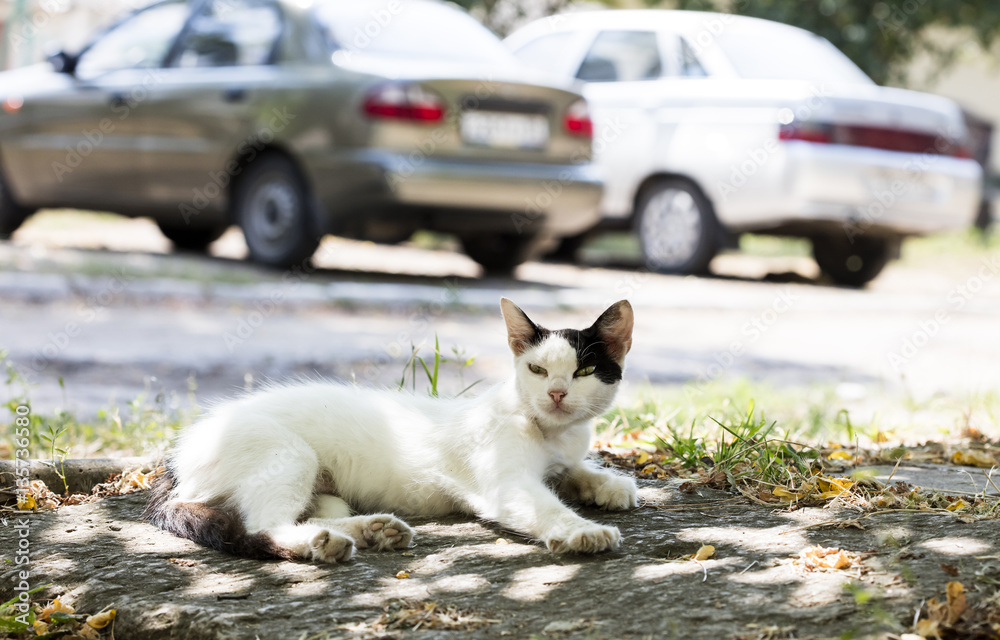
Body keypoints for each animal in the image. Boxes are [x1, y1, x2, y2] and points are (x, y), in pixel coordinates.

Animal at [145, 298, 636, 564]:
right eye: (537, 370)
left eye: (584, 371)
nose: (555, 393)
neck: (549, 430)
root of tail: (176, 457)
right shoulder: (506, 483)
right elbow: (543, 503)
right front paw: (579, 530)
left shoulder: (562, 454)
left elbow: (573, 469)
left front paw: (609, 484)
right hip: (288, 454)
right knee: (263, 525)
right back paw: (321, 543)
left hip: (326, 490)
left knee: (308, 512)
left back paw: (371, 530)